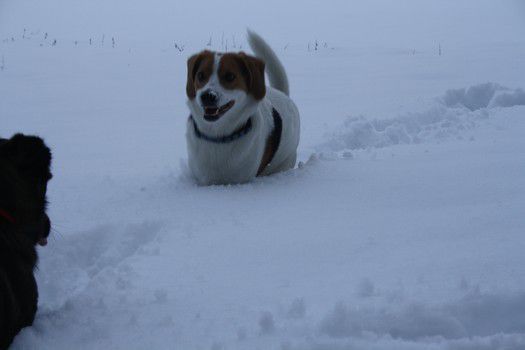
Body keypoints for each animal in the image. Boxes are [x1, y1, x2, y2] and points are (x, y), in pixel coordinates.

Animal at [185, 31, 298, 185]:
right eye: (201, 75)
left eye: (230, 76)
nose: (207, 96)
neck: (218, 136)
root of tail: (283, 94)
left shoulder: (242, 181)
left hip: (286, 161)